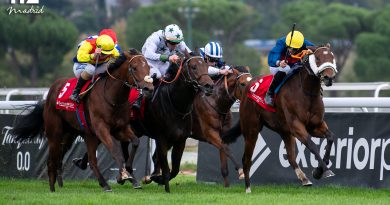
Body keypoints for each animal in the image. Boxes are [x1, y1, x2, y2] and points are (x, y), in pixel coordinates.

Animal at [11, 48, 153, 192]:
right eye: (134, 68)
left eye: (148, 67)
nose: (149, 88)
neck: (112, 98)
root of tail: (53, 89)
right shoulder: (101, 128)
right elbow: (114, 150)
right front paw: (123, 175)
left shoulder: (121, 128)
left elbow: (135, 142)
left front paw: (129, 173)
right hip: (55, 132)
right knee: (52, 160)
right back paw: (52, 189)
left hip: (78, 134)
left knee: (88, 160)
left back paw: (104, 184)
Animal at [222, 44, 338, 193]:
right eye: (317, 58)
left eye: (332, 57)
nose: (329, 77)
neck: (306, 91)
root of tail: (249, 84)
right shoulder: (296, 125)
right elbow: (312, 145)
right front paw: (324, 171)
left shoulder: (315, 125)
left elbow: (331, 138)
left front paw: (319, 170)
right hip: (251, 129)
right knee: (246, 159)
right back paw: (248, 188)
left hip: (284, 131)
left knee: (290, 157)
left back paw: (304, 179)